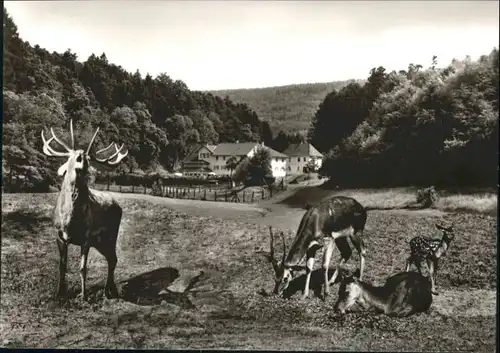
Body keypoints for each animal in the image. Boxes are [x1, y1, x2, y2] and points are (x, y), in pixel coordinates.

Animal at [41, 120, 129, 300]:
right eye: (72, 156)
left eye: (88, 158)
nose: (82, 157)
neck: (69, 220)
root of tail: (117, 204)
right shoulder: (58, 235)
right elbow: (62, 266)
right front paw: (59, 293)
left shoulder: (87, 238)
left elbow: (83, 268)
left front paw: (83, 296)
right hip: (100, 241)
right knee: (112, 258)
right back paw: (110, 289)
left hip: (111, 234)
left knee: (113, 259)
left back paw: (109, 290)